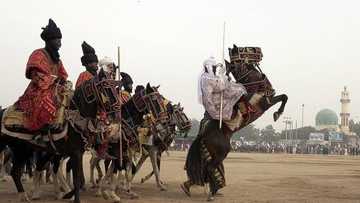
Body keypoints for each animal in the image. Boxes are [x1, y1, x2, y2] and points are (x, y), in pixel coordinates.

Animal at [0, 68, 121, 203]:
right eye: (105, 88)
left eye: (115, 88)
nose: (116, 114)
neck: (77, 116)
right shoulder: (75, 153)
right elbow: (77, 179)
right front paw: (73, 197)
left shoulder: (78, 152)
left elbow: (79, 179)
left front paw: (68, 195)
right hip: (21, 150)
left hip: (26, 150)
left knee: (19, 171)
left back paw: (27, 195)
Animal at [181, 45, 288, 201]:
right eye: (246, 52)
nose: (259, 52)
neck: (250, 88)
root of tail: (203, 135)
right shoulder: (264, 103)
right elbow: (283, 97)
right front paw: (277, 114)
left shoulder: (266, 100)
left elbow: (283, 96)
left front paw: (277, 113)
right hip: (222, 152)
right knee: (209, 168)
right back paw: (210, 194)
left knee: (204, 170)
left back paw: (190, 187)